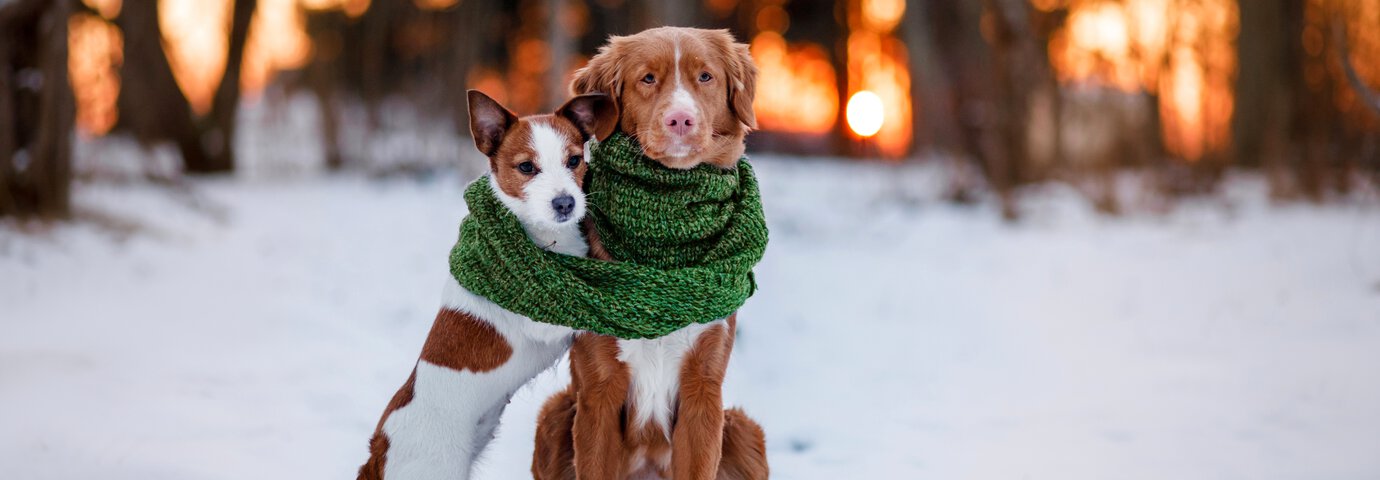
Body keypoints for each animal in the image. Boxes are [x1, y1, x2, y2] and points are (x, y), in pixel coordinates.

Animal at [358, 88, 618, 480]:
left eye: (574, 160)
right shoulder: (543, 322)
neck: (545, 239)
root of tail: (380, 451)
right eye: (526, 167)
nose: (566, 203)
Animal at [529, 27, 772, 480]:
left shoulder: (703, 391)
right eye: (647, 79)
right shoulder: (599, 393)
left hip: (745, 431)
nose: (681, 119)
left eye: (705, 76)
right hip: (554, 415)